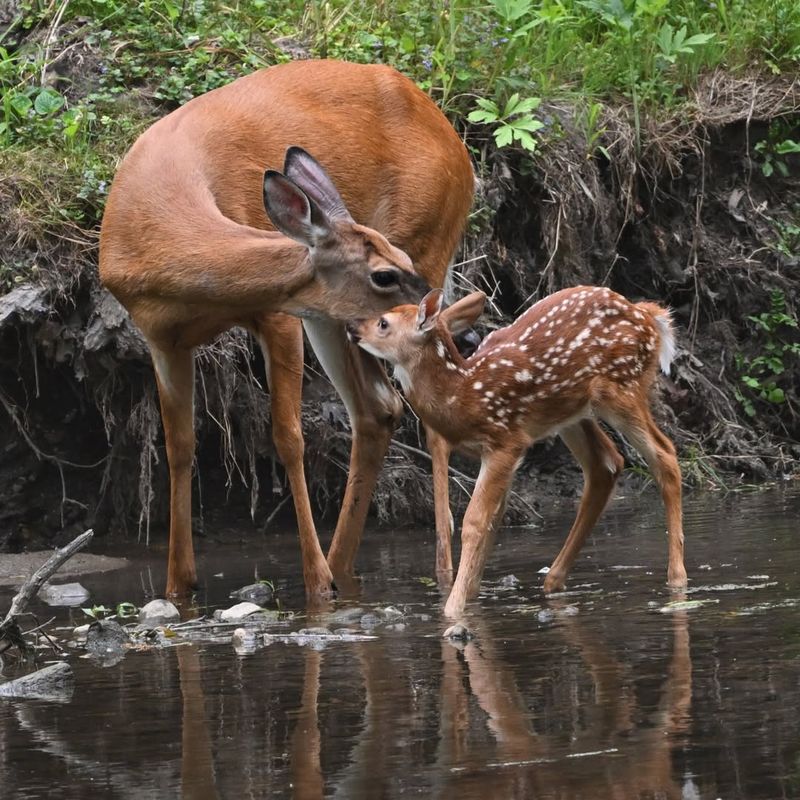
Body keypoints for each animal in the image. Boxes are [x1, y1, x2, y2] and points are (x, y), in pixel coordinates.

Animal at [98, 59, 474, 598]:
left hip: (427, 240)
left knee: (420, 415)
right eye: (384, 273)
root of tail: (456, 143)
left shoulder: (278, 313)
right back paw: (343, 566)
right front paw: (178, 585)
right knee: (377, 408)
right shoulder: (159, 338)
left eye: (397, 263)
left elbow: (288, 436)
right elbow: (178, 447)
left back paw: (433, 570)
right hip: (346, 313)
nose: (458, 329)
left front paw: (315, 584)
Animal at [346, 285, 688, 620]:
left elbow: (474, 522)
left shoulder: (507, 440)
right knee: (606, 464)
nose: (351, 327)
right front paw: (470, 597)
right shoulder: (500, 452)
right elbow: (492, 521)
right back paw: (554, 580)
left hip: (621, 388)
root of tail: (648, 314)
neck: (463, 396)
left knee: (664, 454)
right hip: (570, 412)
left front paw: (453, 610)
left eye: (384, 323)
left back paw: (677, 579)